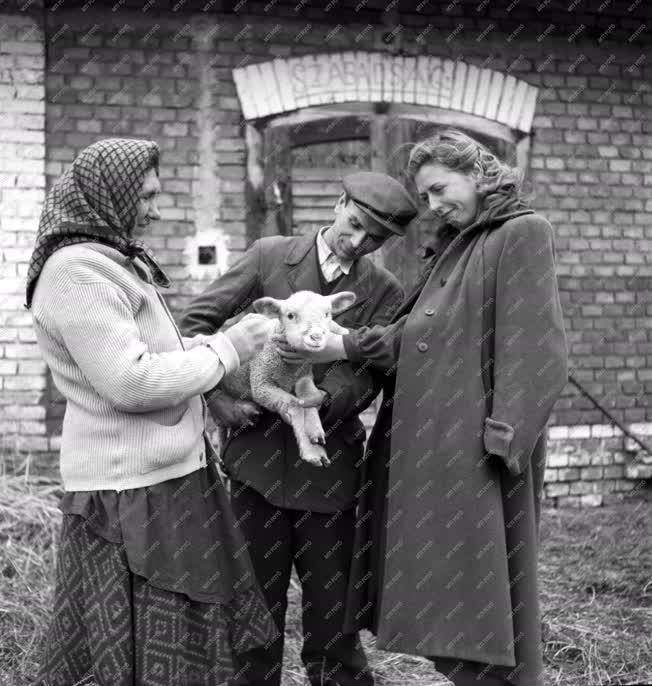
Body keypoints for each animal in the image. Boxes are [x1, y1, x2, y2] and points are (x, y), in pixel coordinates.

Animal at [218, 288, 356, 470]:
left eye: (327, 314)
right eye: (290, 315)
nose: (316, 337)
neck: (289, 369)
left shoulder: (304, 376)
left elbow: (310, 398)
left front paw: (314, 431)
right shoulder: (261, 383)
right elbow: (294, 405)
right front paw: (312, 452)